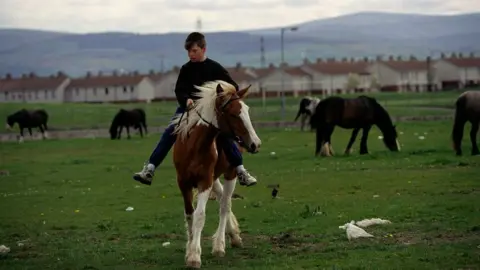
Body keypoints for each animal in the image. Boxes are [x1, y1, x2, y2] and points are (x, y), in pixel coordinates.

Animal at [170, 79, 262, 268]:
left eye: (247, 110)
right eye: (234, 114)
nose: (256, 143)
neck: (194, 146)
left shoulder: (205, 181)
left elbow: (200, 215)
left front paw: (194, 256)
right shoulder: (183, 183)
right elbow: (189, 215)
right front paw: (189, 250)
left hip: (230, 174)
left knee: (225, 205)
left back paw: (220, 245)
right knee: (221, 199)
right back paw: (233, 234)